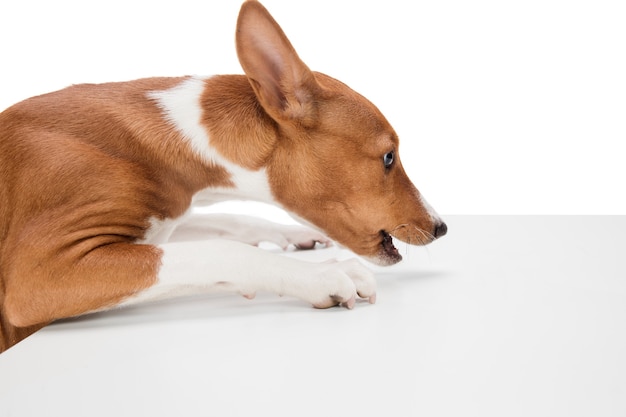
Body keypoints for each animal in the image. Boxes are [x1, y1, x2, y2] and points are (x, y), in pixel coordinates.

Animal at [2, 0, 446, 352]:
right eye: (388, 157)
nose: (441, 227)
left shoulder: (168, 220)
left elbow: (223, 221)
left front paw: (292, 236)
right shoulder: (38, 274)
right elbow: (220, 251)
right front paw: (319, 274)